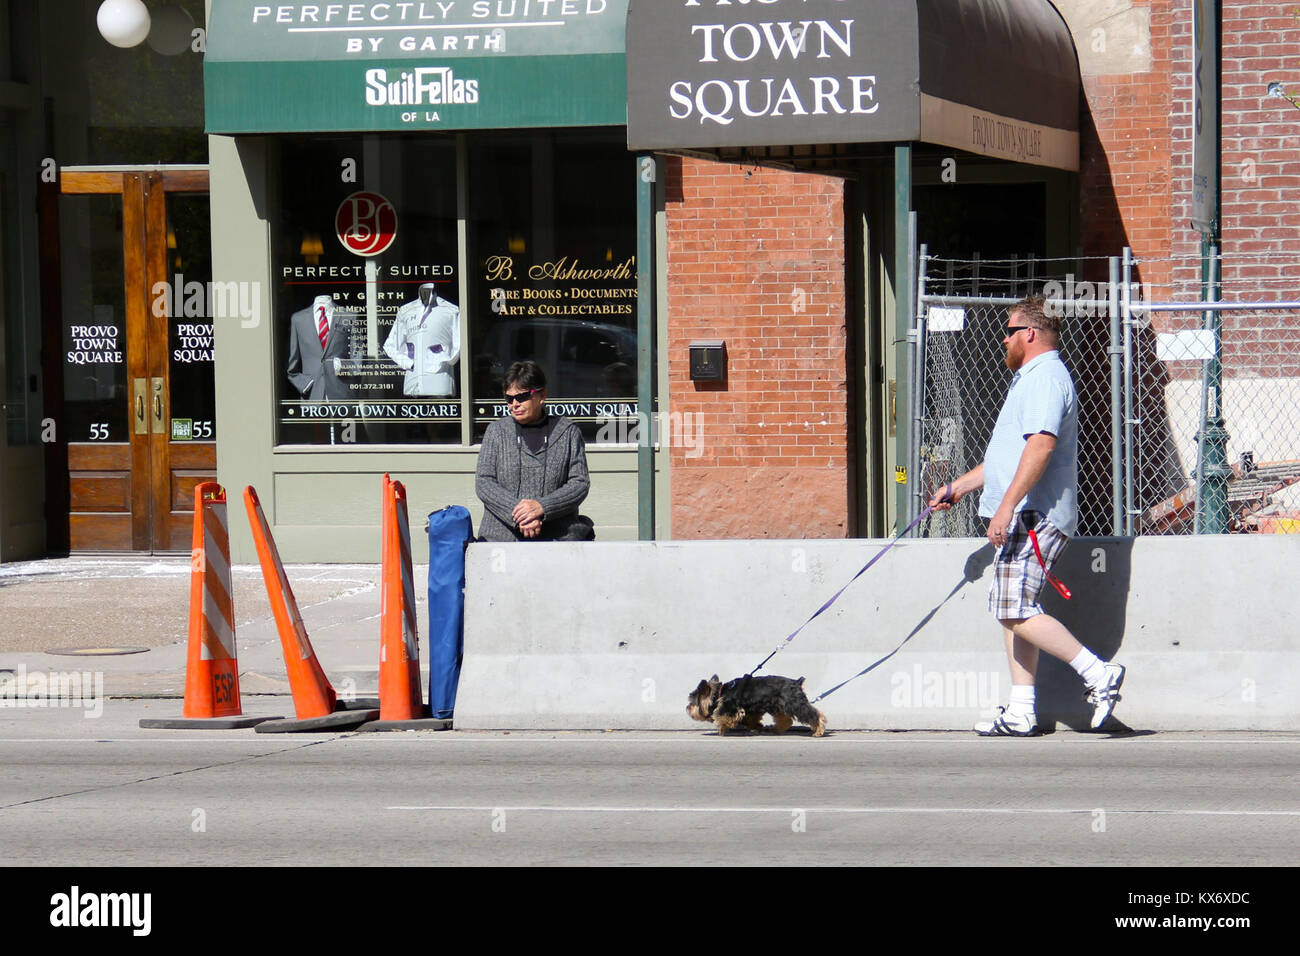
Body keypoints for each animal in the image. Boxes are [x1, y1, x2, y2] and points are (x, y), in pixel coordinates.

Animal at [686, 671, 826, 738]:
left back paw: (819, 730)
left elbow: (723, 717)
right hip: (778, 705)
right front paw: (757, 727)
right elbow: (751, 720)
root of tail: (797, 682)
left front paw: (722, 729)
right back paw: (776, 729)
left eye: (692, 703)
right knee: (786, 720)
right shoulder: (752, 710)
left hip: (795, 704)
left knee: (814, 714)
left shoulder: (731, 707)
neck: (720, 693)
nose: (687, 708)